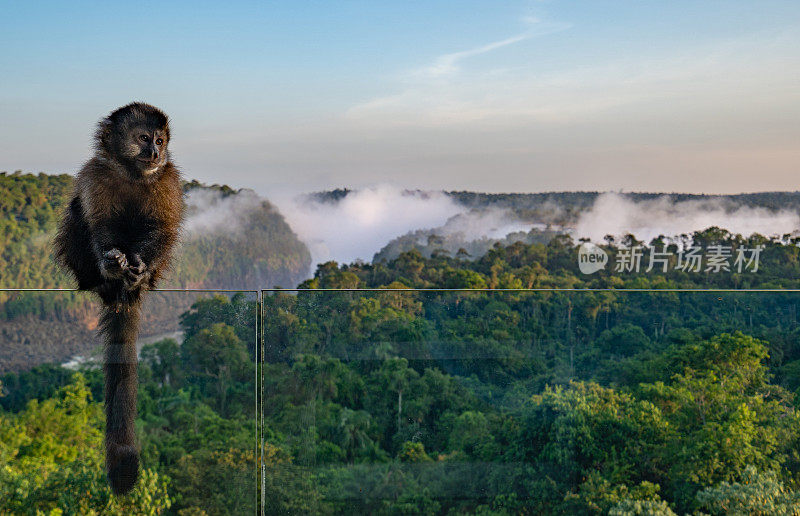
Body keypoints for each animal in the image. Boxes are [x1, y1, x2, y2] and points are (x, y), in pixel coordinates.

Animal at [54, 102, 184, 496]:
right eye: (143, 138)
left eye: (160, 141)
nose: (155, 152)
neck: (133, 174)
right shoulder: (95, 174)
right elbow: (100, 226)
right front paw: (111, 262)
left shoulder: (168, 179)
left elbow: (163, 229)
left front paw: (137, 265)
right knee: (78, 214)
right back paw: (107, 278)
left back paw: (134, 279)